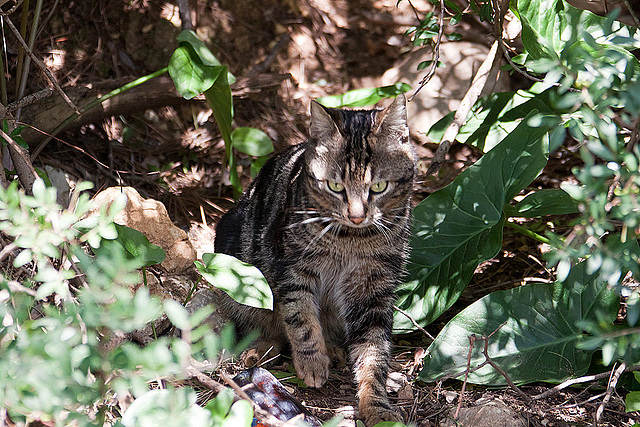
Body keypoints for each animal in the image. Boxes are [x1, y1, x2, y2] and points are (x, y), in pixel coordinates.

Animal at [212, 95, 418, 426]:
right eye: (335, 186)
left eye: (378, 187)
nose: (357, 215)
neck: (352, 238)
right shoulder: (292, 270)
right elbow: (300, 317)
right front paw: (311, 362)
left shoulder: (374, 287)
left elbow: (374, 353)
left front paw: (377, 406)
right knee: (265, 324)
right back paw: (261, 350)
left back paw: (333, 349)